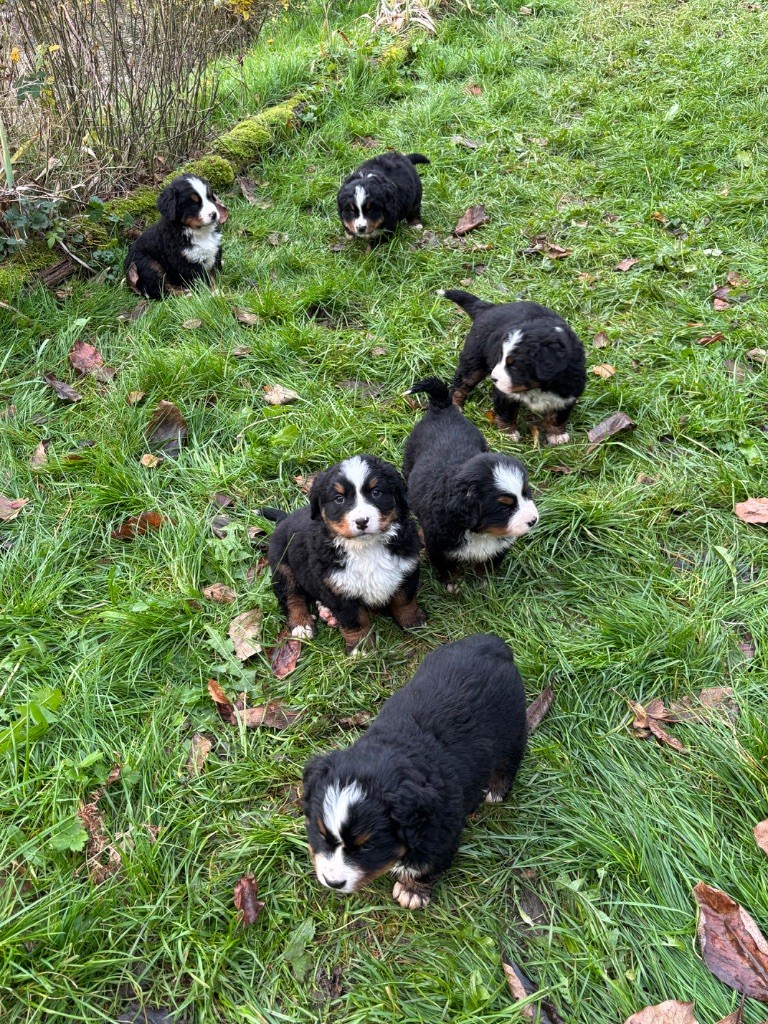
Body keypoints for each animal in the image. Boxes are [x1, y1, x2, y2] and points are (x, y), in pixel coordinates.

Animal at [262, 454, 423, 651]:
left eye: (376, 492)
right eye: (339, 499)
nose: (361, 521)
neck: (366, 548)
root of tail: (284, 519)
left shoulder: (406, 568)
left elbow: (404, 600)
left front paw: (413, 622)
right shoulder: (337, 588)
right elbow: (354, 620)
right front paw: (361, 647)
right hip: (282, 565)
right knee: (291, 596)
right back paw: (302, 624)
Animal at [403, 376, 540, 589]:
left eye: (526, 493)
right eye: (504, 507)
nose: (533, 520)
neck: (481, 533)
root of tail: (443, 407)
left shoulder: (498, 548)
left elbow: (488, 565)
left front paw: (485, 583)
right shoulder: (438, 546)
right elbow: (446, 567)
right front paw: (452, 584)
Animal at [438, 290, 589, 446]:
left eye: (515, 366)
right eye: (500, 357)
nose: (493, 379)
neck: (539, 387)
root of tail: (487, 307)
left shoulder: (568, 393)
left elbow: (558, 416)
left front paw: (557, 435)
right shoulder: (504, 394)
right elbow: (506, 413)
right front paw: (508, 434)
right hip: (474, 359)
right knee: (461, 383)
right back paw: (456, 405)